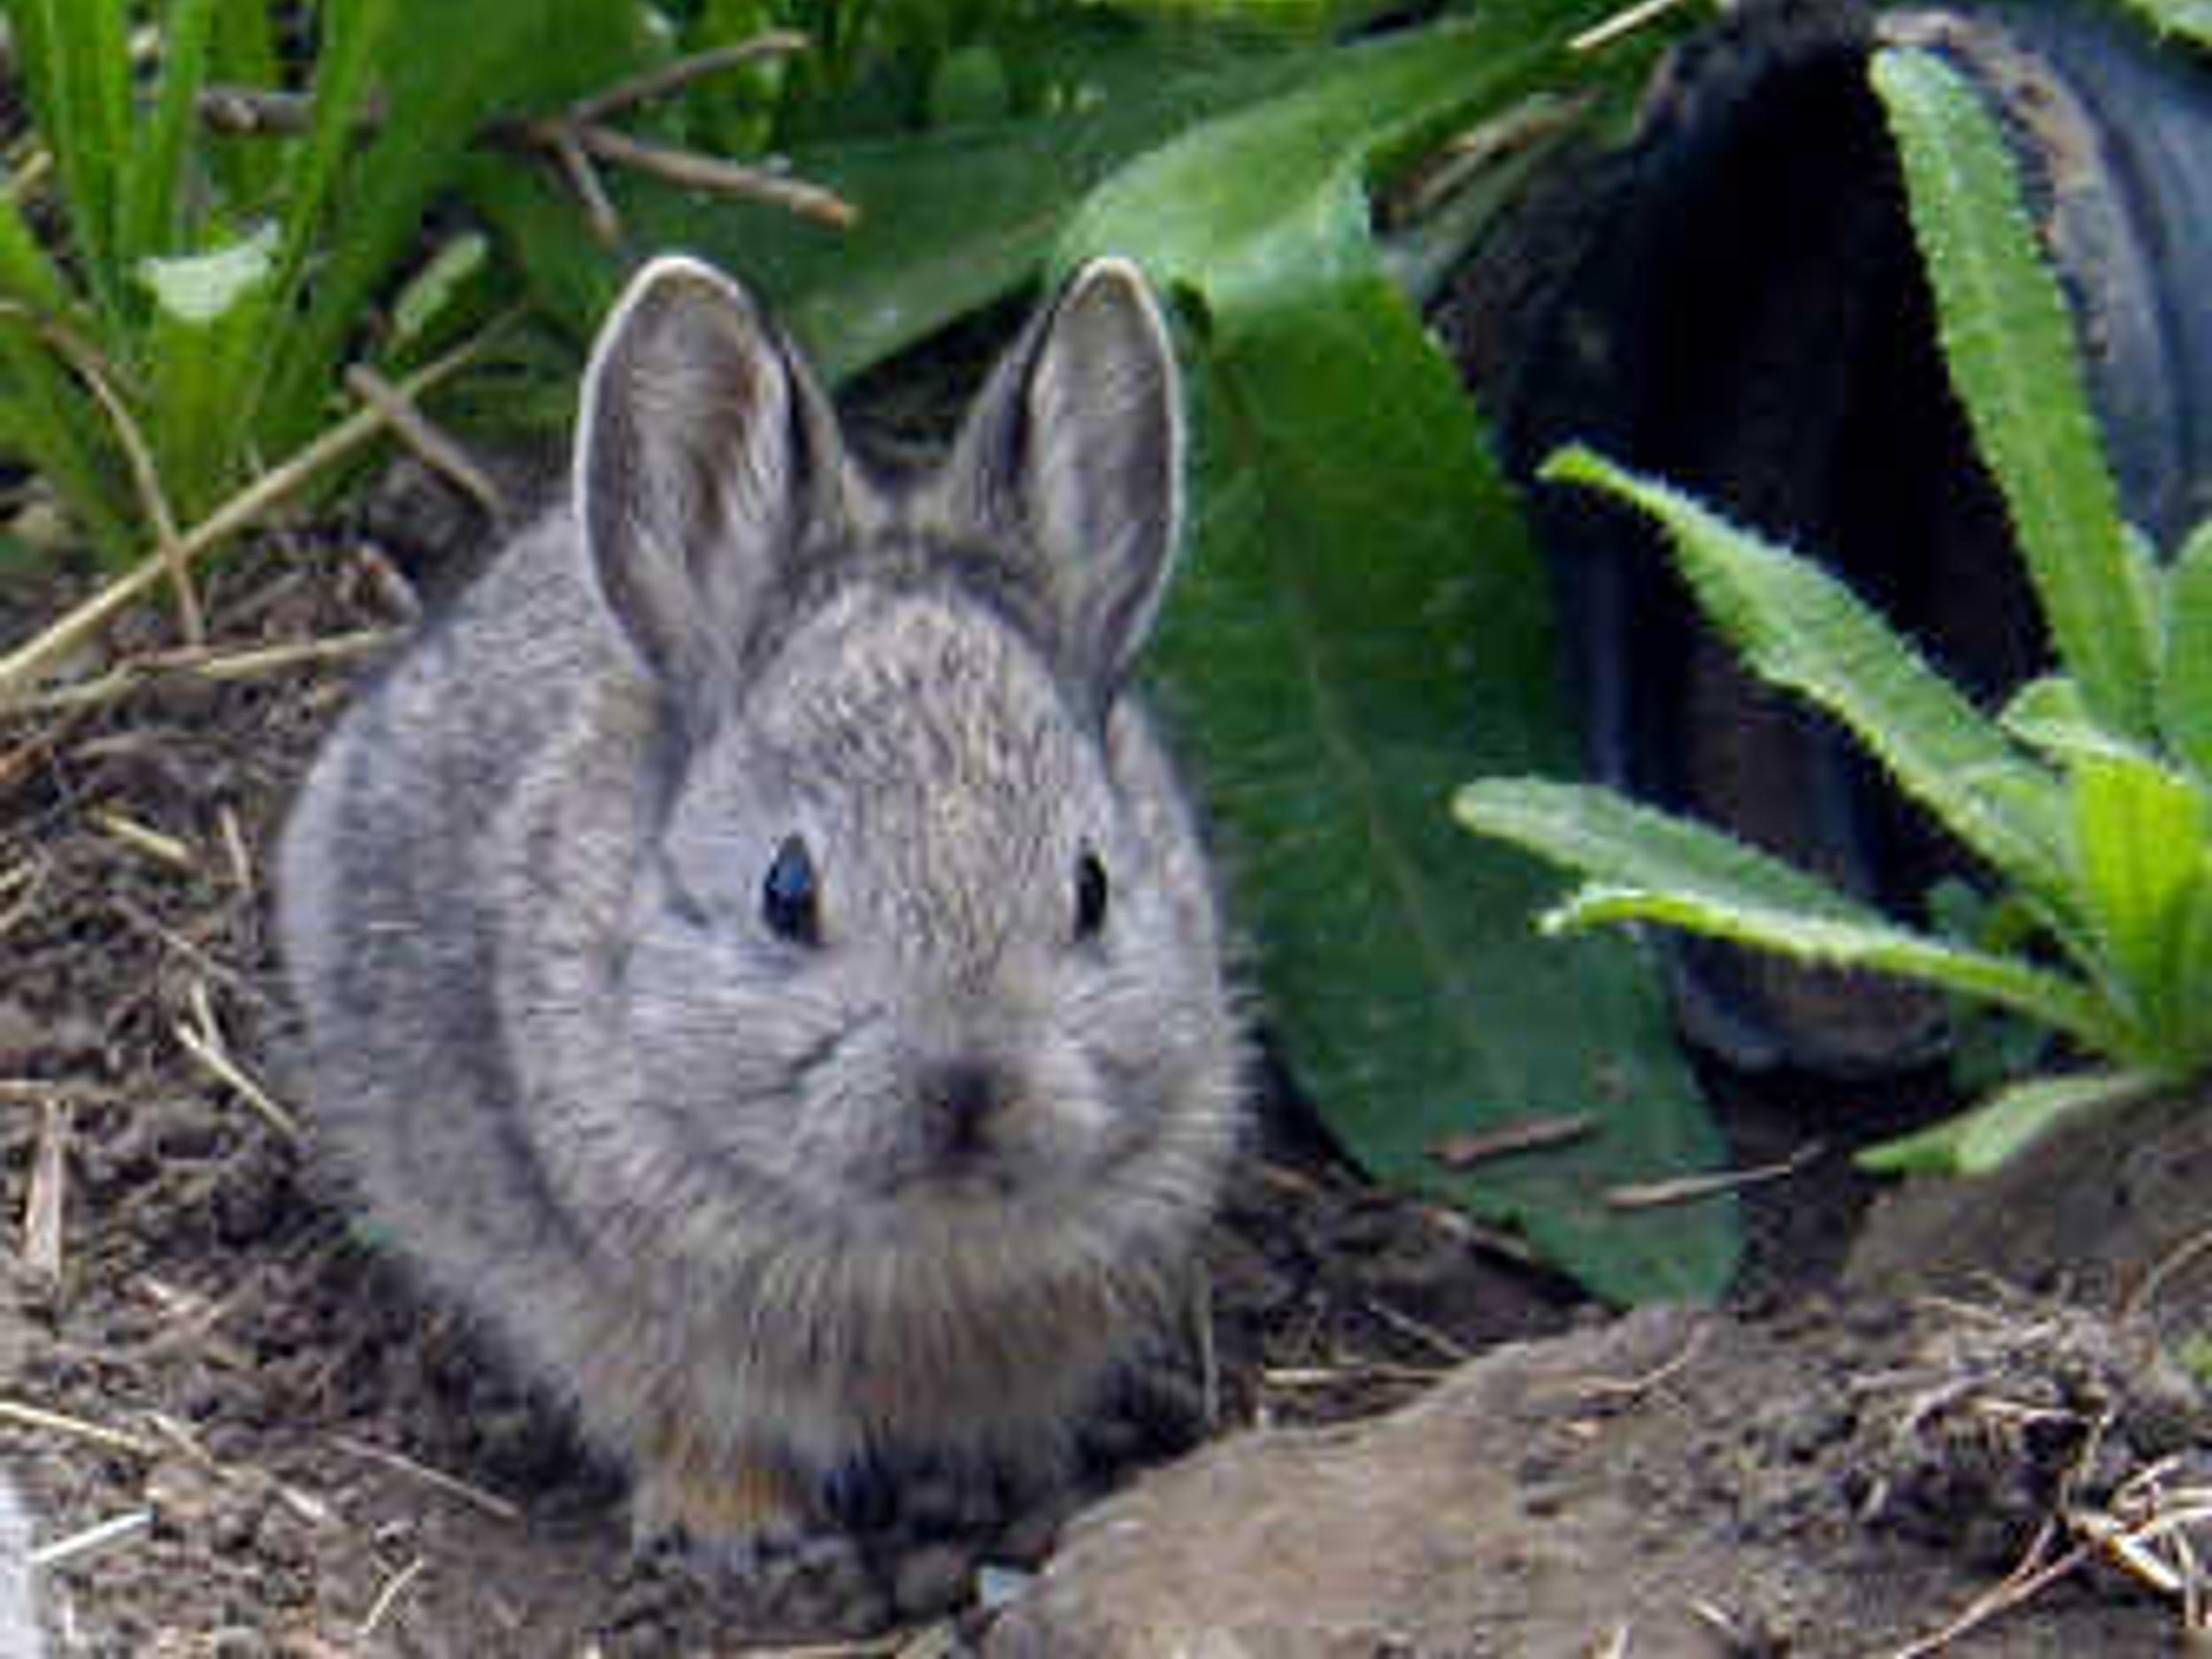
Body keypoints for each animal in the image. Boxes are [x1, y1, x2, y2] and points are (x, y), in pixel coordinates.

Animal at [276, 253, 1245, 1559]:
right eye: (787, 890)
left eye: (1092, 886)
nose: (968, 1087)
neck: (921, 1244)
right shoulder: (605, 1310)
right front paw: (735, 1528)